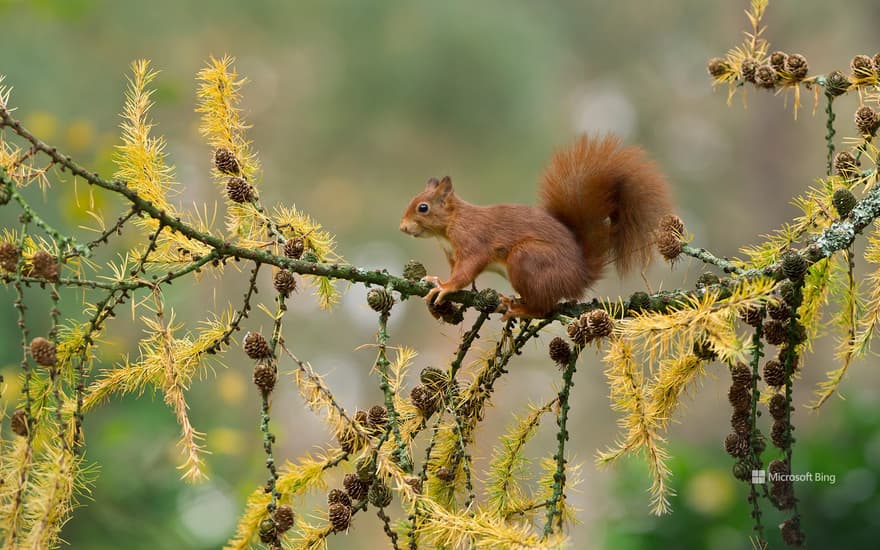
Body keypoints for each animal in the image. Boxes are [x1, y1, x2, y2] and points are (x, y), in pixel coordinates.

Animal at [400, 134, 672, 322]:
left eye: (423, 208)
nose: (402, 227)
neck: (449, 226)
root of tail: (580, 276)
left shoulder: (473, 241)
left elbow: (466, 271)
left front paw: (445, 287)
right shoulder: (451, 253)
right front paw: (436, 279)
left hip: (527, 258)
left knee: (544, 308)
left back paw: (520, 309)